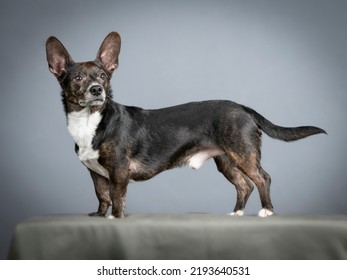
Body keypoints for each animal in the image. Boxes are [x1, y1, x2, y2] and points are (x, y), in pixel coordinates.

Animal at [45, 31, 326, 219]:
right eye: (78, 78)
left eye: (103, 76)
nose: (97, 90)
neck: (90, 120)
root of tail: (244, 108)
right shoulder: (95, 173)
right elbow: (101, 196)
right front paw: (100, 215)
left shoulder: (119, 170)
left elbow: (116, 197)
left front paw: (115, 217)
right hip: (226, 160)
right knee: (243, 184)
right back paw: (237, 213)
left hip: (243, 153)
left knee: (262, 178)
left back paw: (266, 210)